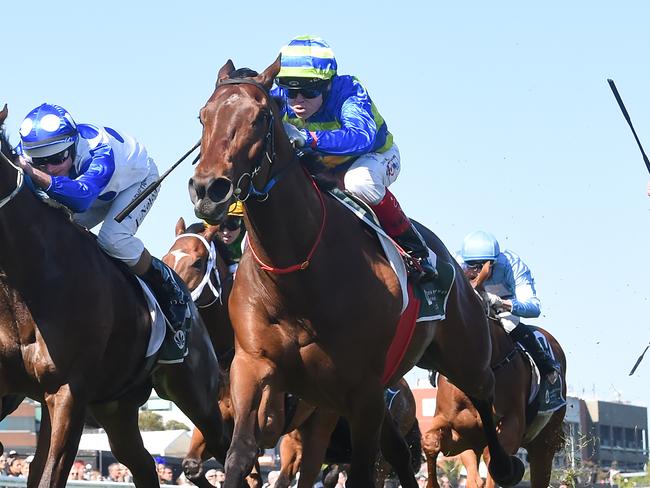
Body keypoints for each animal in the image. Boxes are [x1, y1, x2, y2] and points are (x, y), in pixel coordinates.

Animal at [187, 61, 520, 488]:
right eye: (203, 116)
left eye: (260, 117)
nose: (208, 189)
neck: (299, 274)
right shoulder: (254, 365)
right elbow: (239, 454)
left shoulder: (358, 392)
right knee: (398, 451)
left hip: (462, 356)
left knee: (483, 392)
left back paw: (508, 465)